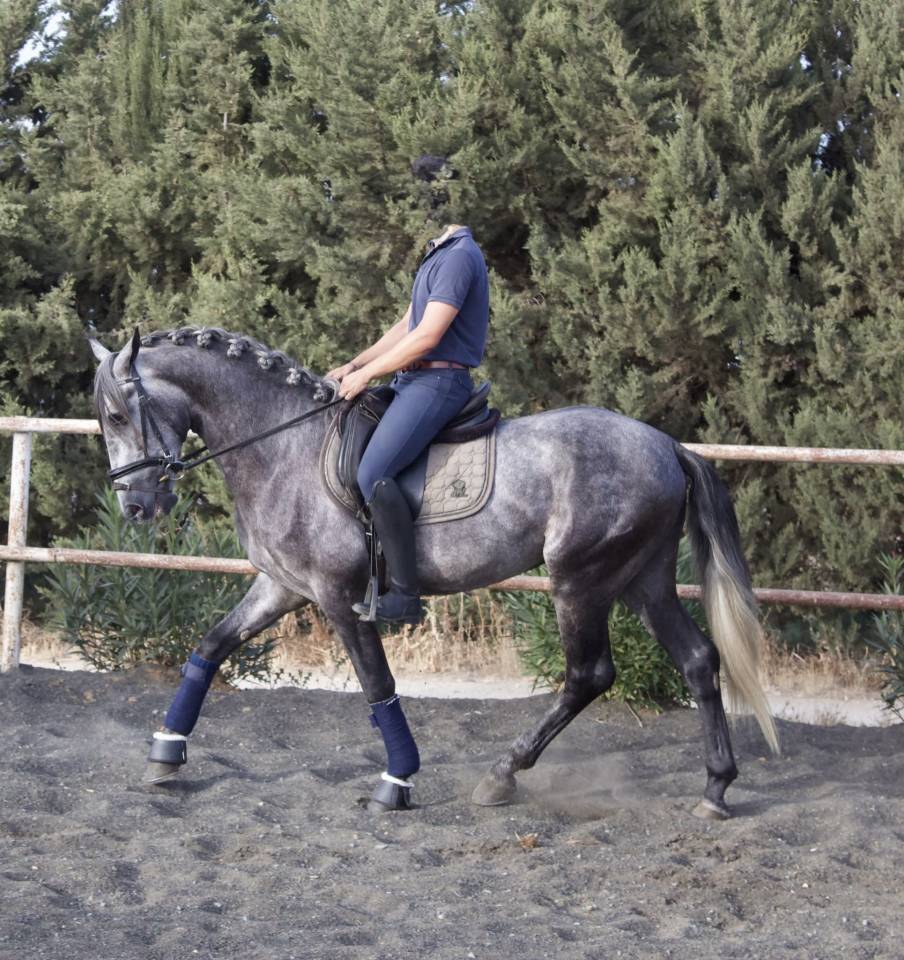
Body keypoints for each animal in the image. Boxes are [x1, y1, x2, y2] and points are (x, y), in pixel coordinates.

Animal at [90, 326, 778, 820]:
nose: (135, 507)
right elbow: (210, 646)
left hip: (582, 580)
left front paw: (395, 781)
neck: (282, 447)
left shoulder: (339, 598)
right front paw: (165, 752)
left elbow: (377, 685)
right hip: (643, 579)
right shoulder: (281, 586)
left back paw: (503, 774)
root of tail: (667, 445)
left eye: (119, 416)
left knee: (589, 675)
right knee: (698, 659)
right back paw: (716, 788)